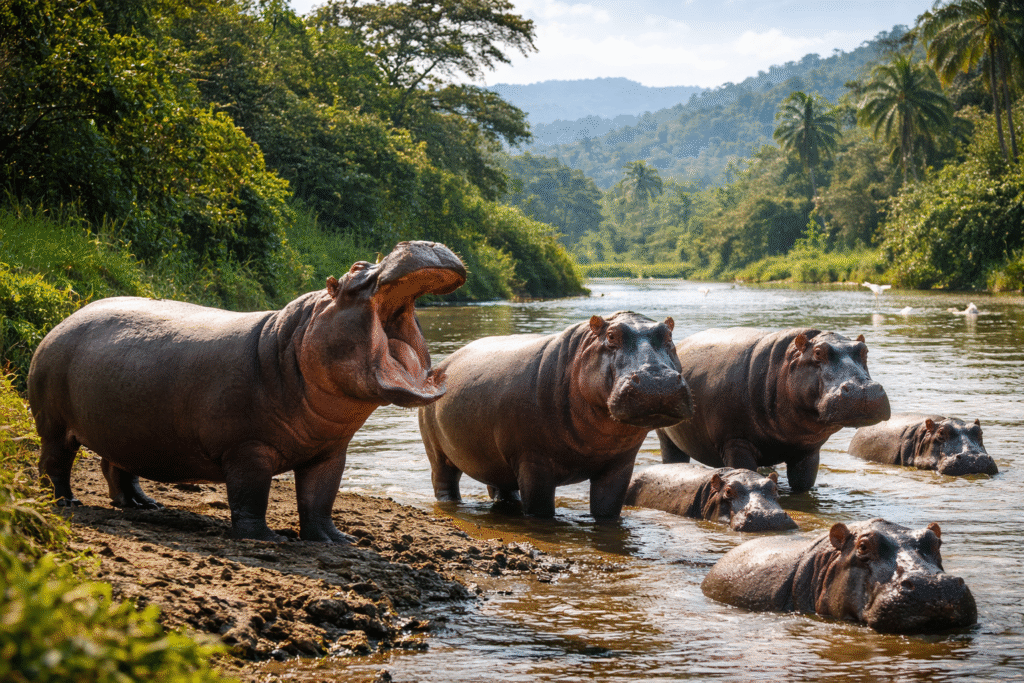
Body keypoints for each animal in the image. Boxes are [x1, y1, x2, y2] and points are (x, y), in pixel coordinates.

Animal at [28, 241, 466, 542]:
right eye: (357, 267)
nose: (425, 243)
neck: (290, 345)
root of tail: (65, 318)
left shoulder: (330, 453)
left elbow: (319, 501)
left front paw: (336, 539)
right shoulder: (246, 450)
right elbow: (251, 497)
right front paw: (268, 539)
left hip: (125, 429)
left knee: (117, 467)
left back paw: (144, 504)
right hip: (54, 424)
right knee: (54, 463)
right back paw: (65, 501)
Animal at [417, 311, 694, 519]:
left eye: (669, 335)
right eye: (611, 335)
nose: (657, 381)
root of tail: (442, 364)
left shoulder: (620, 466)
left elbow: (607, 511)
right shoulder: (533, 462)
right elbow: (540, 510)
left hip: (493, 460)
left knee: (501, 488)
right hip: (437, 453)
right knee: (444, 482)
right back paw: (449, 502)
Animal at [656, 328, 891, 493]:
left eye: (864, 350)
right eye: (818, 352)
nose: (864, 390)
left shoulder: (808, 450)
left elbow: (803, 484)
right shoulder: (736, 442)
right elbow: (744, 472)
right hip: (666, 436)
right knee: (672, 456)